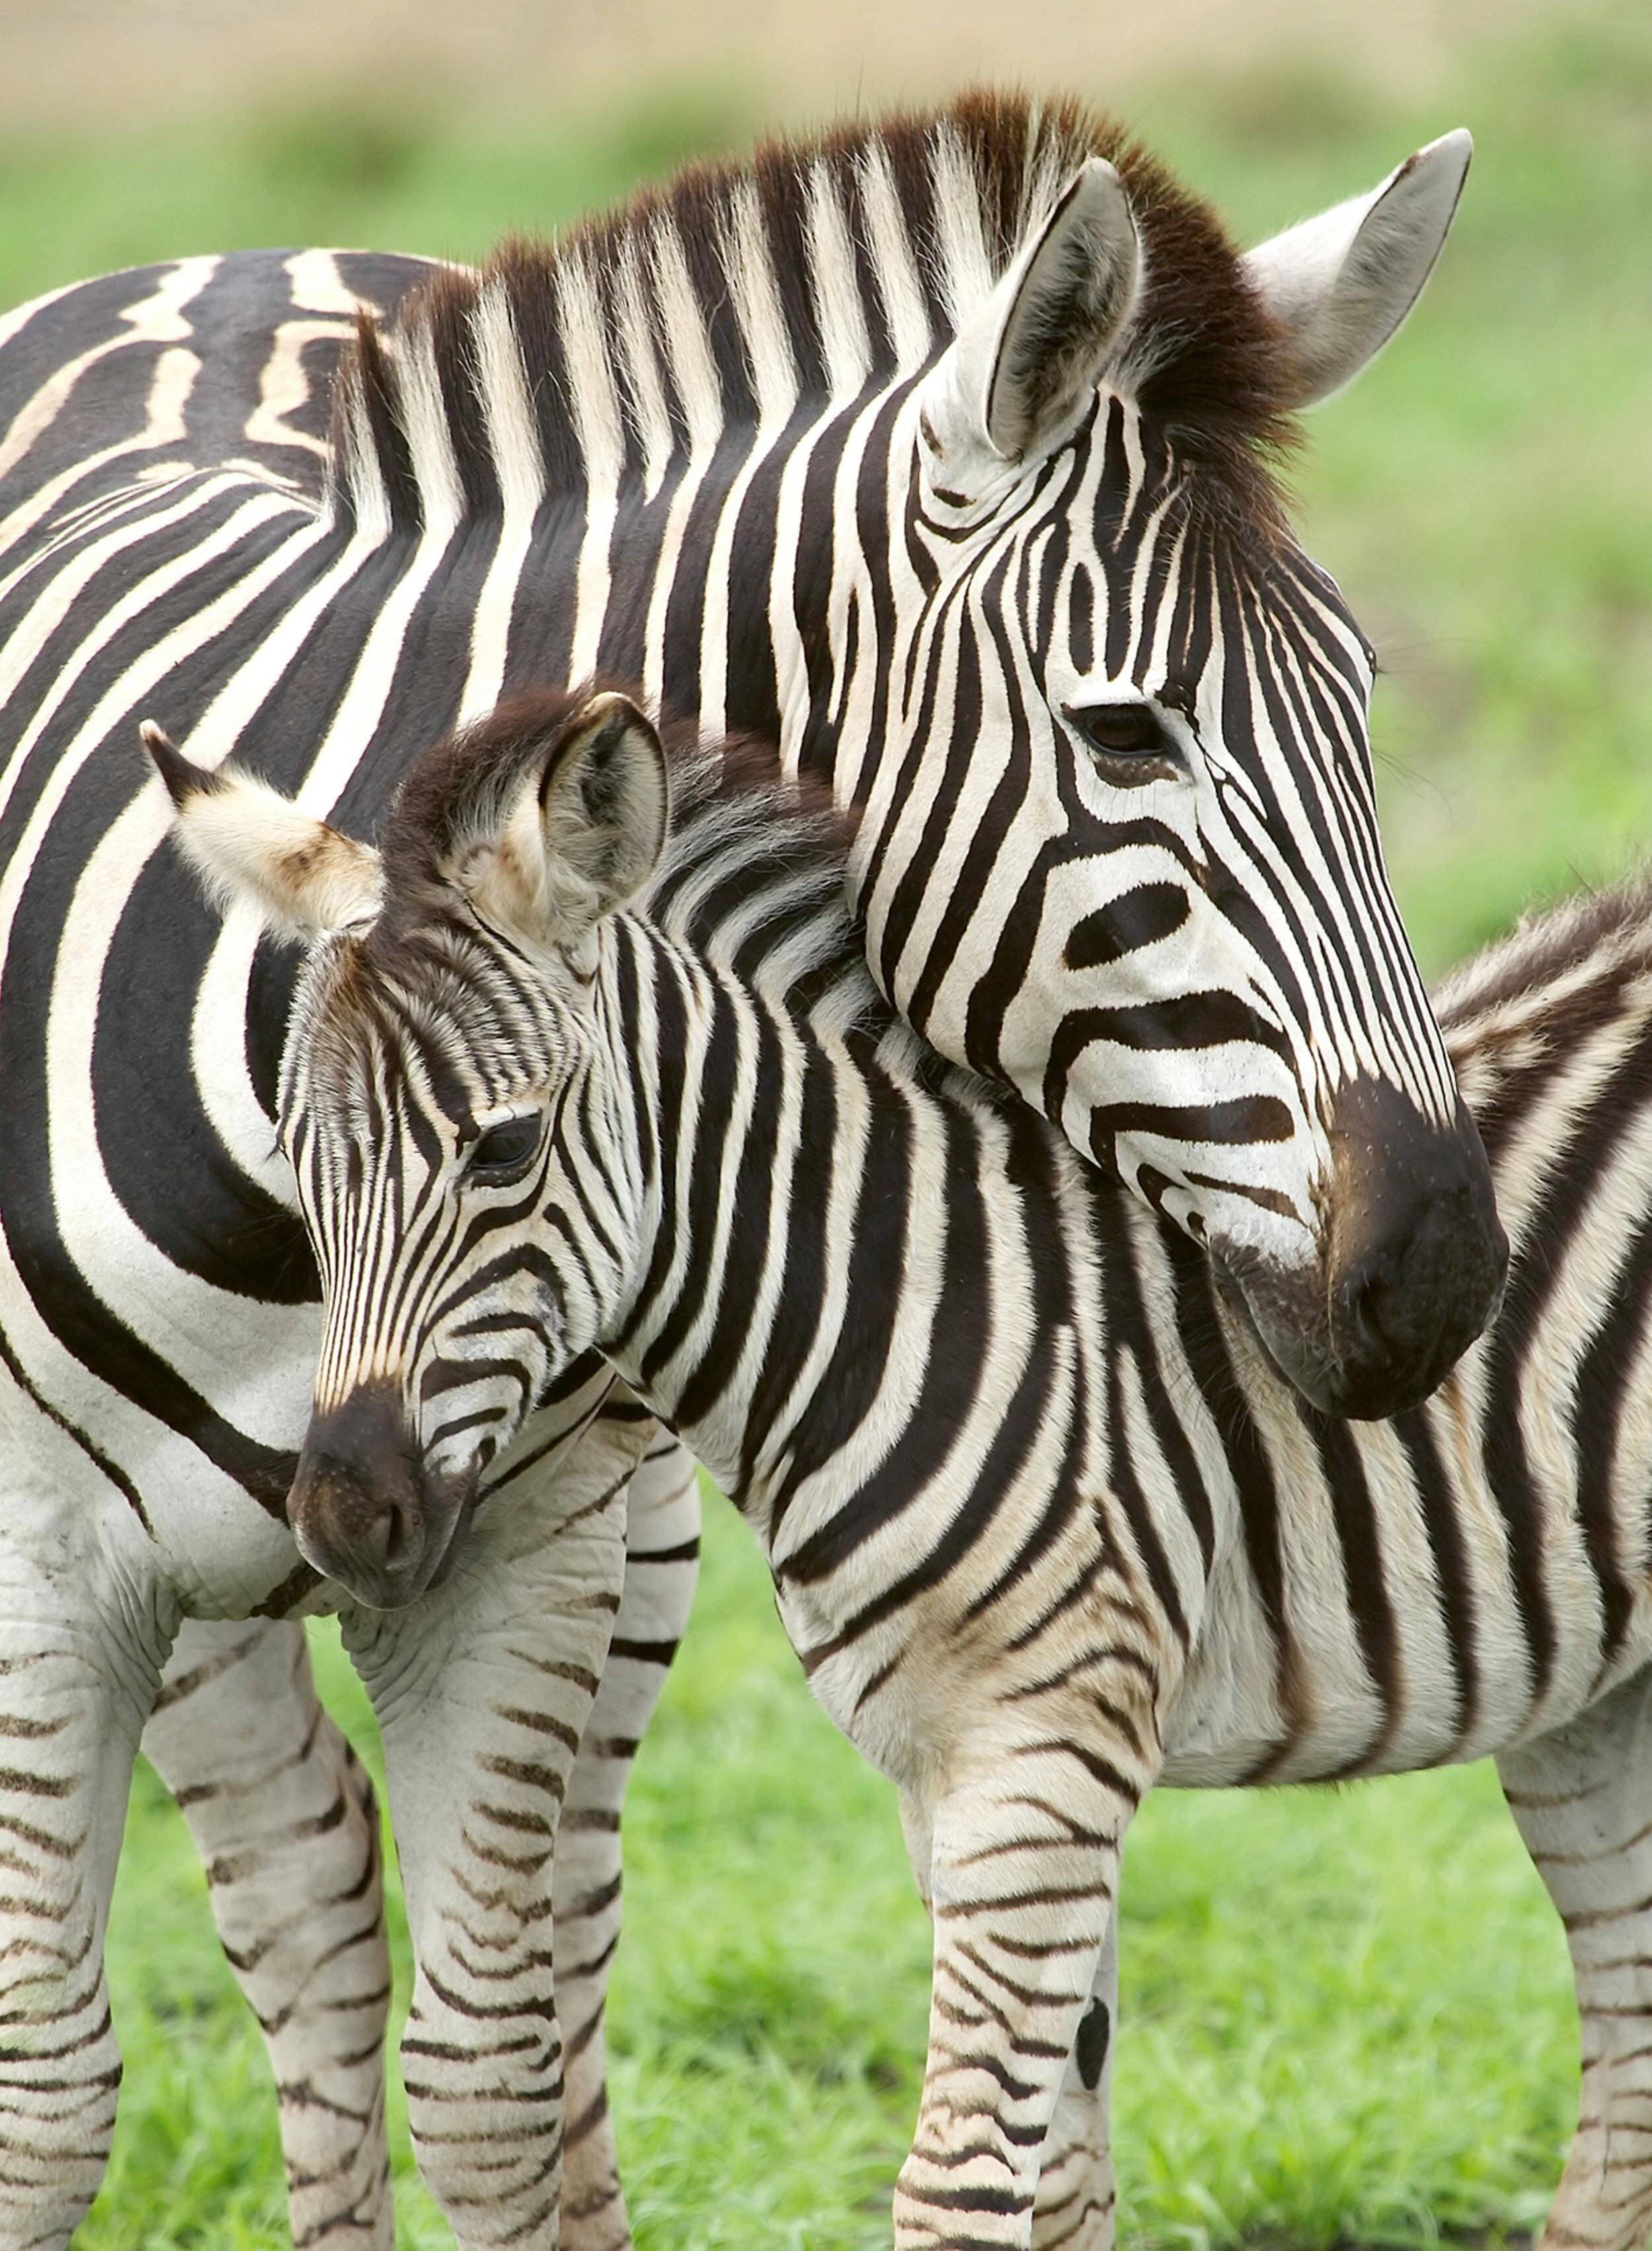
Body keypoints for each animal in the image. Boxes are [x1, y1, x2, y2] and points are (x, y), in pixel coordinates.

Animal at [0, 95, 1497, 2241]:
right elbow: (46, 2099)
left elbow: (490, 2082)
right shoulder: (44, 1572)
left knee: (469, 1947)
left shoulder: (519, 1554)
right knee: (303, 1892)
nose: (1440, 1268)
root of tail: (217, 260)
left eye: (1366, 705)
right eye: (1127, 735)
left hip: (613, 1544)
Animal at [171, 678, 1652, 2251]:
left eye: (503, 1151)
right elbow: (1060, 2183)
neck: (907, 1300)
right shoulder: (948, 1775)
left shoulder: (1040, 1760)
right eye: (296, 1157)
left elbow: (959, 2180)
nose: (345, 1515)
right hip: (1595, 1706)